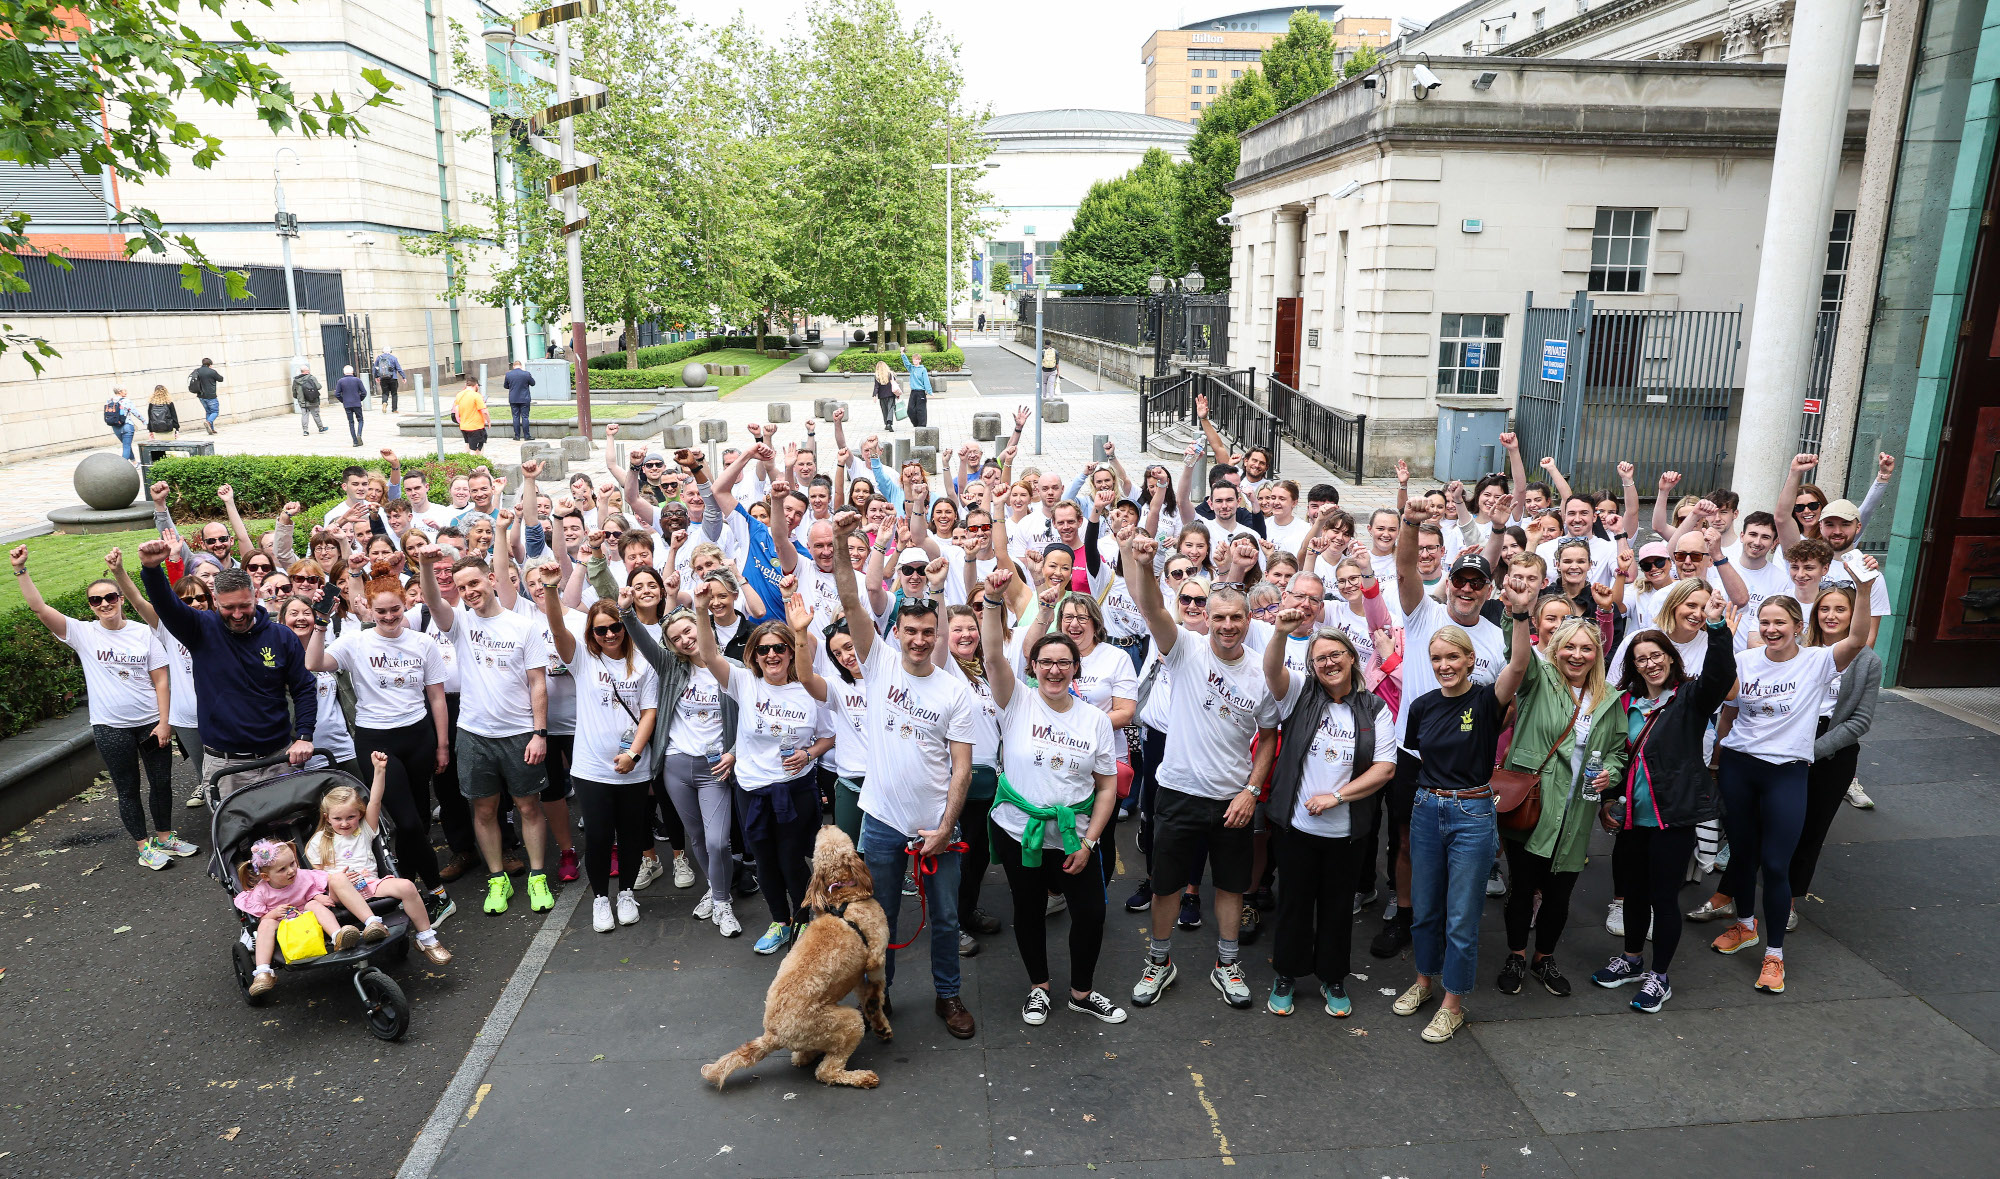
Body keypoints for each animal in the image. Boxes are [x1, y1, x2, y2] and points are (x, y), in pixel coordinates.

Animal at [700, 827, 896, 1095]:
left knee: (800, 1058)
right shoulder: (876, 957)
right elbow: (877, 991)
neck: (843, 900)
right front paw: (881, 1021)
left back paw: (809, 1055)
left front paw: (880, 1024)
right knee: (826, 1072)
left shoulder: (857, 976)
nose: (825, 826)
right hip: (846, 1024)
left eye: (818, 844)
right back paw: (861, 1077)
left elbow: (869, 999)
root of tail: (772, 1035)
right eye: (836, 838)